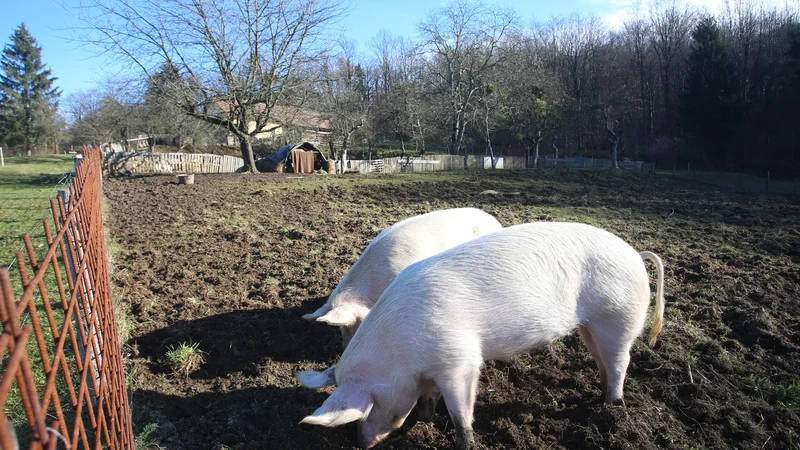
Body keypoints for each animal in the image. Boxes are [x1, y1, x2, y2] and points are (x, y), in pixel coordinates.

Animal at [296, 222, 664, 450]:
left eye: (368, 409)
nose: (361, 443)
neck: (400, 353)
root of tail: (636, 254)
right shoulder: (431, 368)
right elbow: (428, 397)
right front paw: (425, 419)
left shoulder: (460, 362)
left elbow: (461, 413)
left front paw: (463, 441)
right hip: (591, 326)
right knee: (603, 360)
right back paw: (601, 395)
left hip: (618, 316)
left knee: (620, 361)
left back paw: (613, 405)